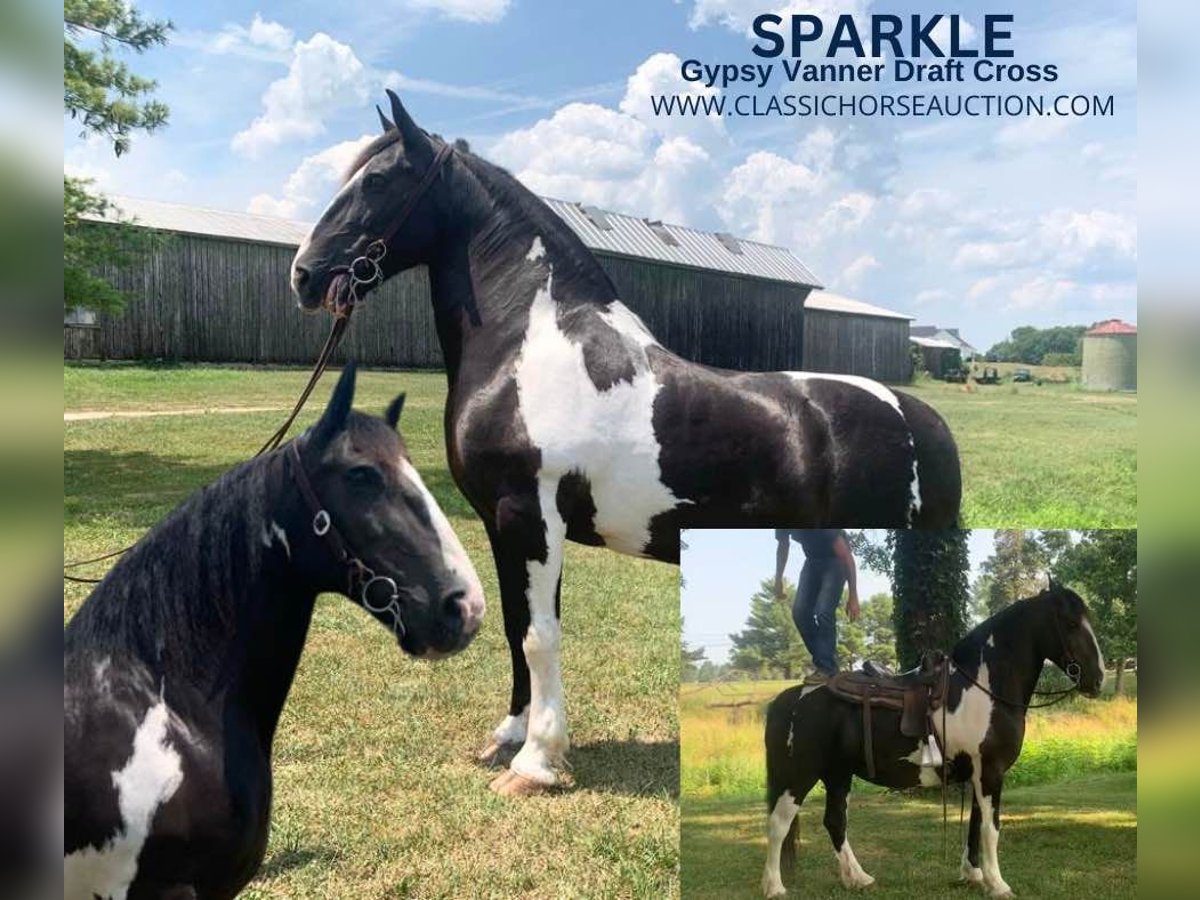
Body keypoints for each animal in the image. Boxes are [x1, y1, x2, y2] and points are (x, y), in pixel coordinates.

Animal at [290, 90, 964, 796]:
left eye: (376, 181)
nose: (303, 275)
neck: (529, 344)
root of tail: (918, 416)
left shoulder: (531, 519)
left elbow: (539, 636)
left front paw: (536, 762)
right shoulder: (503, 525)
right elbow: (514, 626)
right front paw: (510, 735)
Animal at [758, 580, 1104, 897]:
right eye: (1071, 624)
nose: (1097, 679)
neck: (982, 689)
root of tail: (787, 699)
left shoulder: (978, 774)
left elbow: (975, 825)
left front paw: (973, 874)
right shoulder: (990, 772)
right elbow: (991, 828)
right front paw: (998, 884)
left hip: (838, 774)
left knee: (835, 821)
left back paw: (857, 878)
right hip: (798, 776)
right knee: (778, 824)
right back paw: (775, 887)